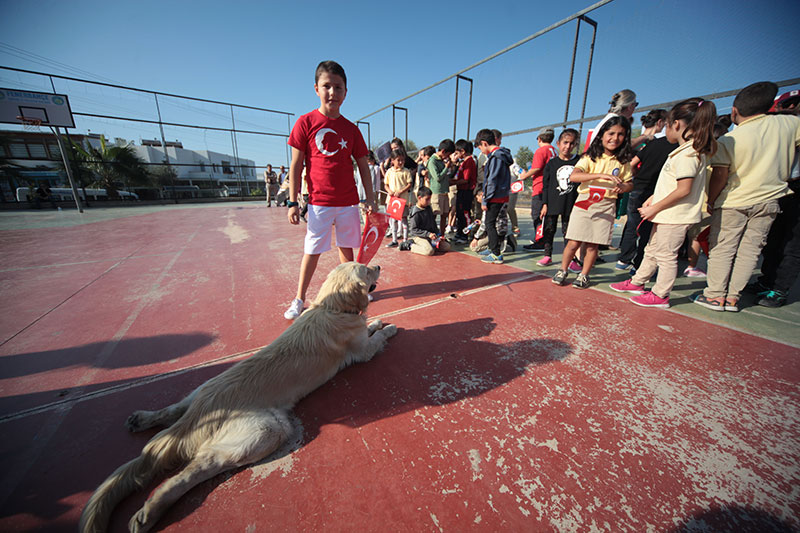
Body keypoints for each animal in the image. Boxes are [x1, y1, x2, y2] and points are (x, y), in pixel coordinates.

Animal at [78, 262, 396, 532]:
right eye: (366, 269)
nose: (379, 265)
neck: (332, 308)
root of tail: (199, 413)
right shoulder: (362, 352)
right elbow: (375, 338)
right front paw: (389, 326)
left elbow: (370, 327)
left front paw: (378, 321)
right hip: (266, 431)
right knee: (192, 470)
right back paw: (150, 511)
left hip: (201, 389)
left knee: (173, 410)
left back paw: (141, 419)